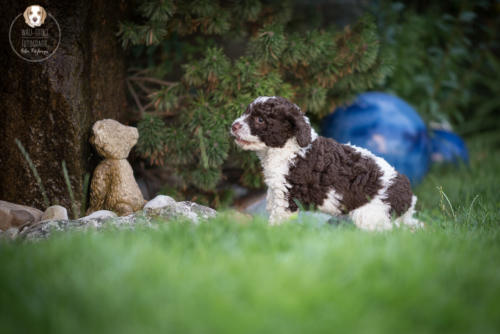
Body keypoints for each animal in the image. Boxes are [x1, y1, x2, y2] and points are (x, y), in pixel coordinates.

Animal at [230, 98, 422, 231]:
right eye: (246, 113)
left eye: (260, 120)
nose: (233, 126)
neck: (286, 148)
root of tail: (408, 195)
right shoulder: (276, 188)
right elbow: (271, 204)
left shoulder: (287, 194)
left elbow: (278, 217)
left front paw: (270, 233)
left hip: (372, 214)